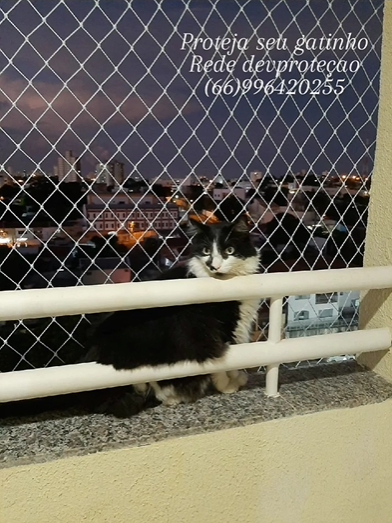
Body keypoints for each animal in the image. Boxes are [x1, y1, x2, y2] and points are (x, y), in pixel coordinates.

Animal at [83, 214, 260, 418]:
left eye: (229, 250)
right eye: (206, 250)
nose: (213, 266)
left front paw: (237, 379)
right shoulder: (217, 333)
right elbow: (223, 365)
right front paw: (228, 386)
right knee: (154, 386)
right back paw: (173, 398)